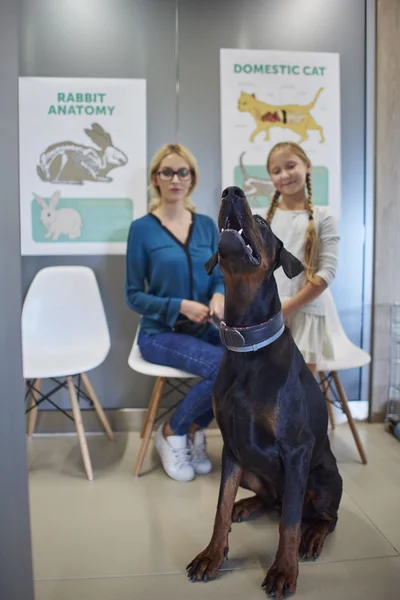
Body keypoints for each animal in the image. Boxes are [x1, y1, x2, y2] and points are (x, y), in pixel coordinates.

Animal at [186, 186, 342, 596]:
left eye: (262, 223)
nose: (231, 192)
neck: (247, 345)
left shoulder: (297, 449)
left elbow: (289, 523)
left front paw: (284, 571)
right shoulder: (232, 447)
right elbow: (220, 507)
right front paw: (212, 555)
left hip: (323, 478)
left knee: (321, 515)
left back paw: (312, 536)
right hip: (252, 467)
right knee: (272, 500)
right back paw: (248, 505)